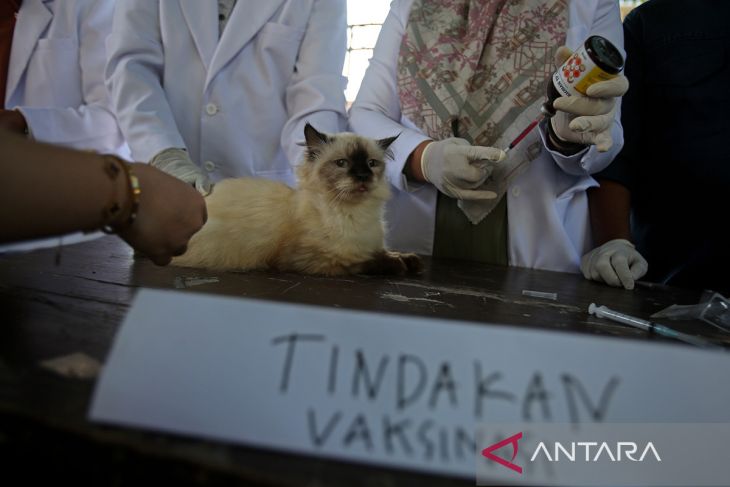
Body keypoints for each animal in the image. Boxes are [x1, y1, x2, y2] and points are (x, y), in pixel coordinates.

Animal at [171, 124, 420, 276]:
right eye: (342, 163)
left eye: (371, 164)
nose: (362, 176)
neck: (354, 215)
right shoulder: (314, 260)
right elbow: (364, 261)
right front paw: (398, 264)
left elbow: (386, 251)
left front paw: (410, 260)